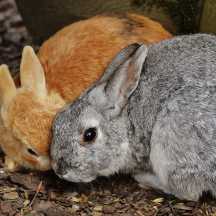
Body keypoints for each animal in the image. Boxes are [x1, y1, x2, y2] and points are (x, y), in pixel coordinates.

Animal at [51, 33, 216, 201]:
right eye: (56, 122)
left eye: (89, 135)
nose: (59, 169)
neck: (127, 119)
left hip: (171, 136)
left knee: (186, 191)